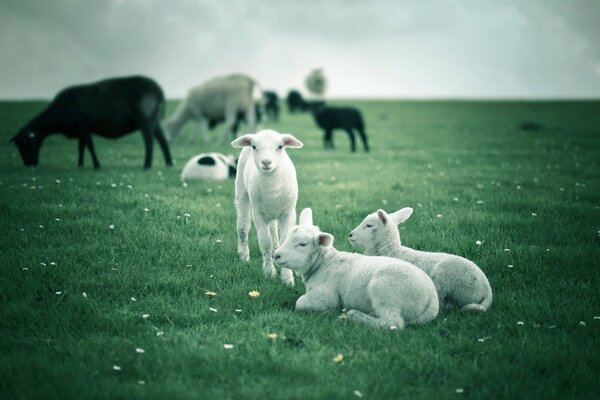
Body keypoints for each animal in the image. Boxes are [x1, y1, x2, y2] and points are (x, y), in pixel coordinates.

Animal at [10, 75, 172, 169]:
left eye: (26, 143)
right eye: (18, 145)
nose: (29, 164)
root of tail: (158, 90)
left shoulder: (83, 127)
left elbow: (89, 146)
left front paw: (96, 165)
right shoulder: (81, 130)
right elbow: (81, 148)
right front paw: (80, 165)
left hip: (145, 119)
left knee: (149, 142)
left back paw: (147, 165)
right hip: (154, 119)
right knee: (162, 140)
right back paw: (169, 163)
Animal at [231, 130, 304, 286]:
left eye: (280, 146)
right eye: (254, 147)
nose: (266, 162)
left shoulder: (288, 213)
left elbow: (284, 241)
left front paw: (287, 278)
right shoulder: (258, 214)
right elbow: (265, 243)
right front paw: (269, 272)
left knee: (274, 234)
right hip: (242, 193)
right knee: (243, 226)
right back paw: (244, 256)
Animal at [274, 208, 440, 330]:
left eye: (302, 244)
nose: (276, 255)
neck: (325, 263)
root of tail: (433, 300)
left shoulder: (325, 296)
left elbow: (299, 303)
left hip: (386, 290)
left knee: (393, 323)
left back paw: (355, 316)